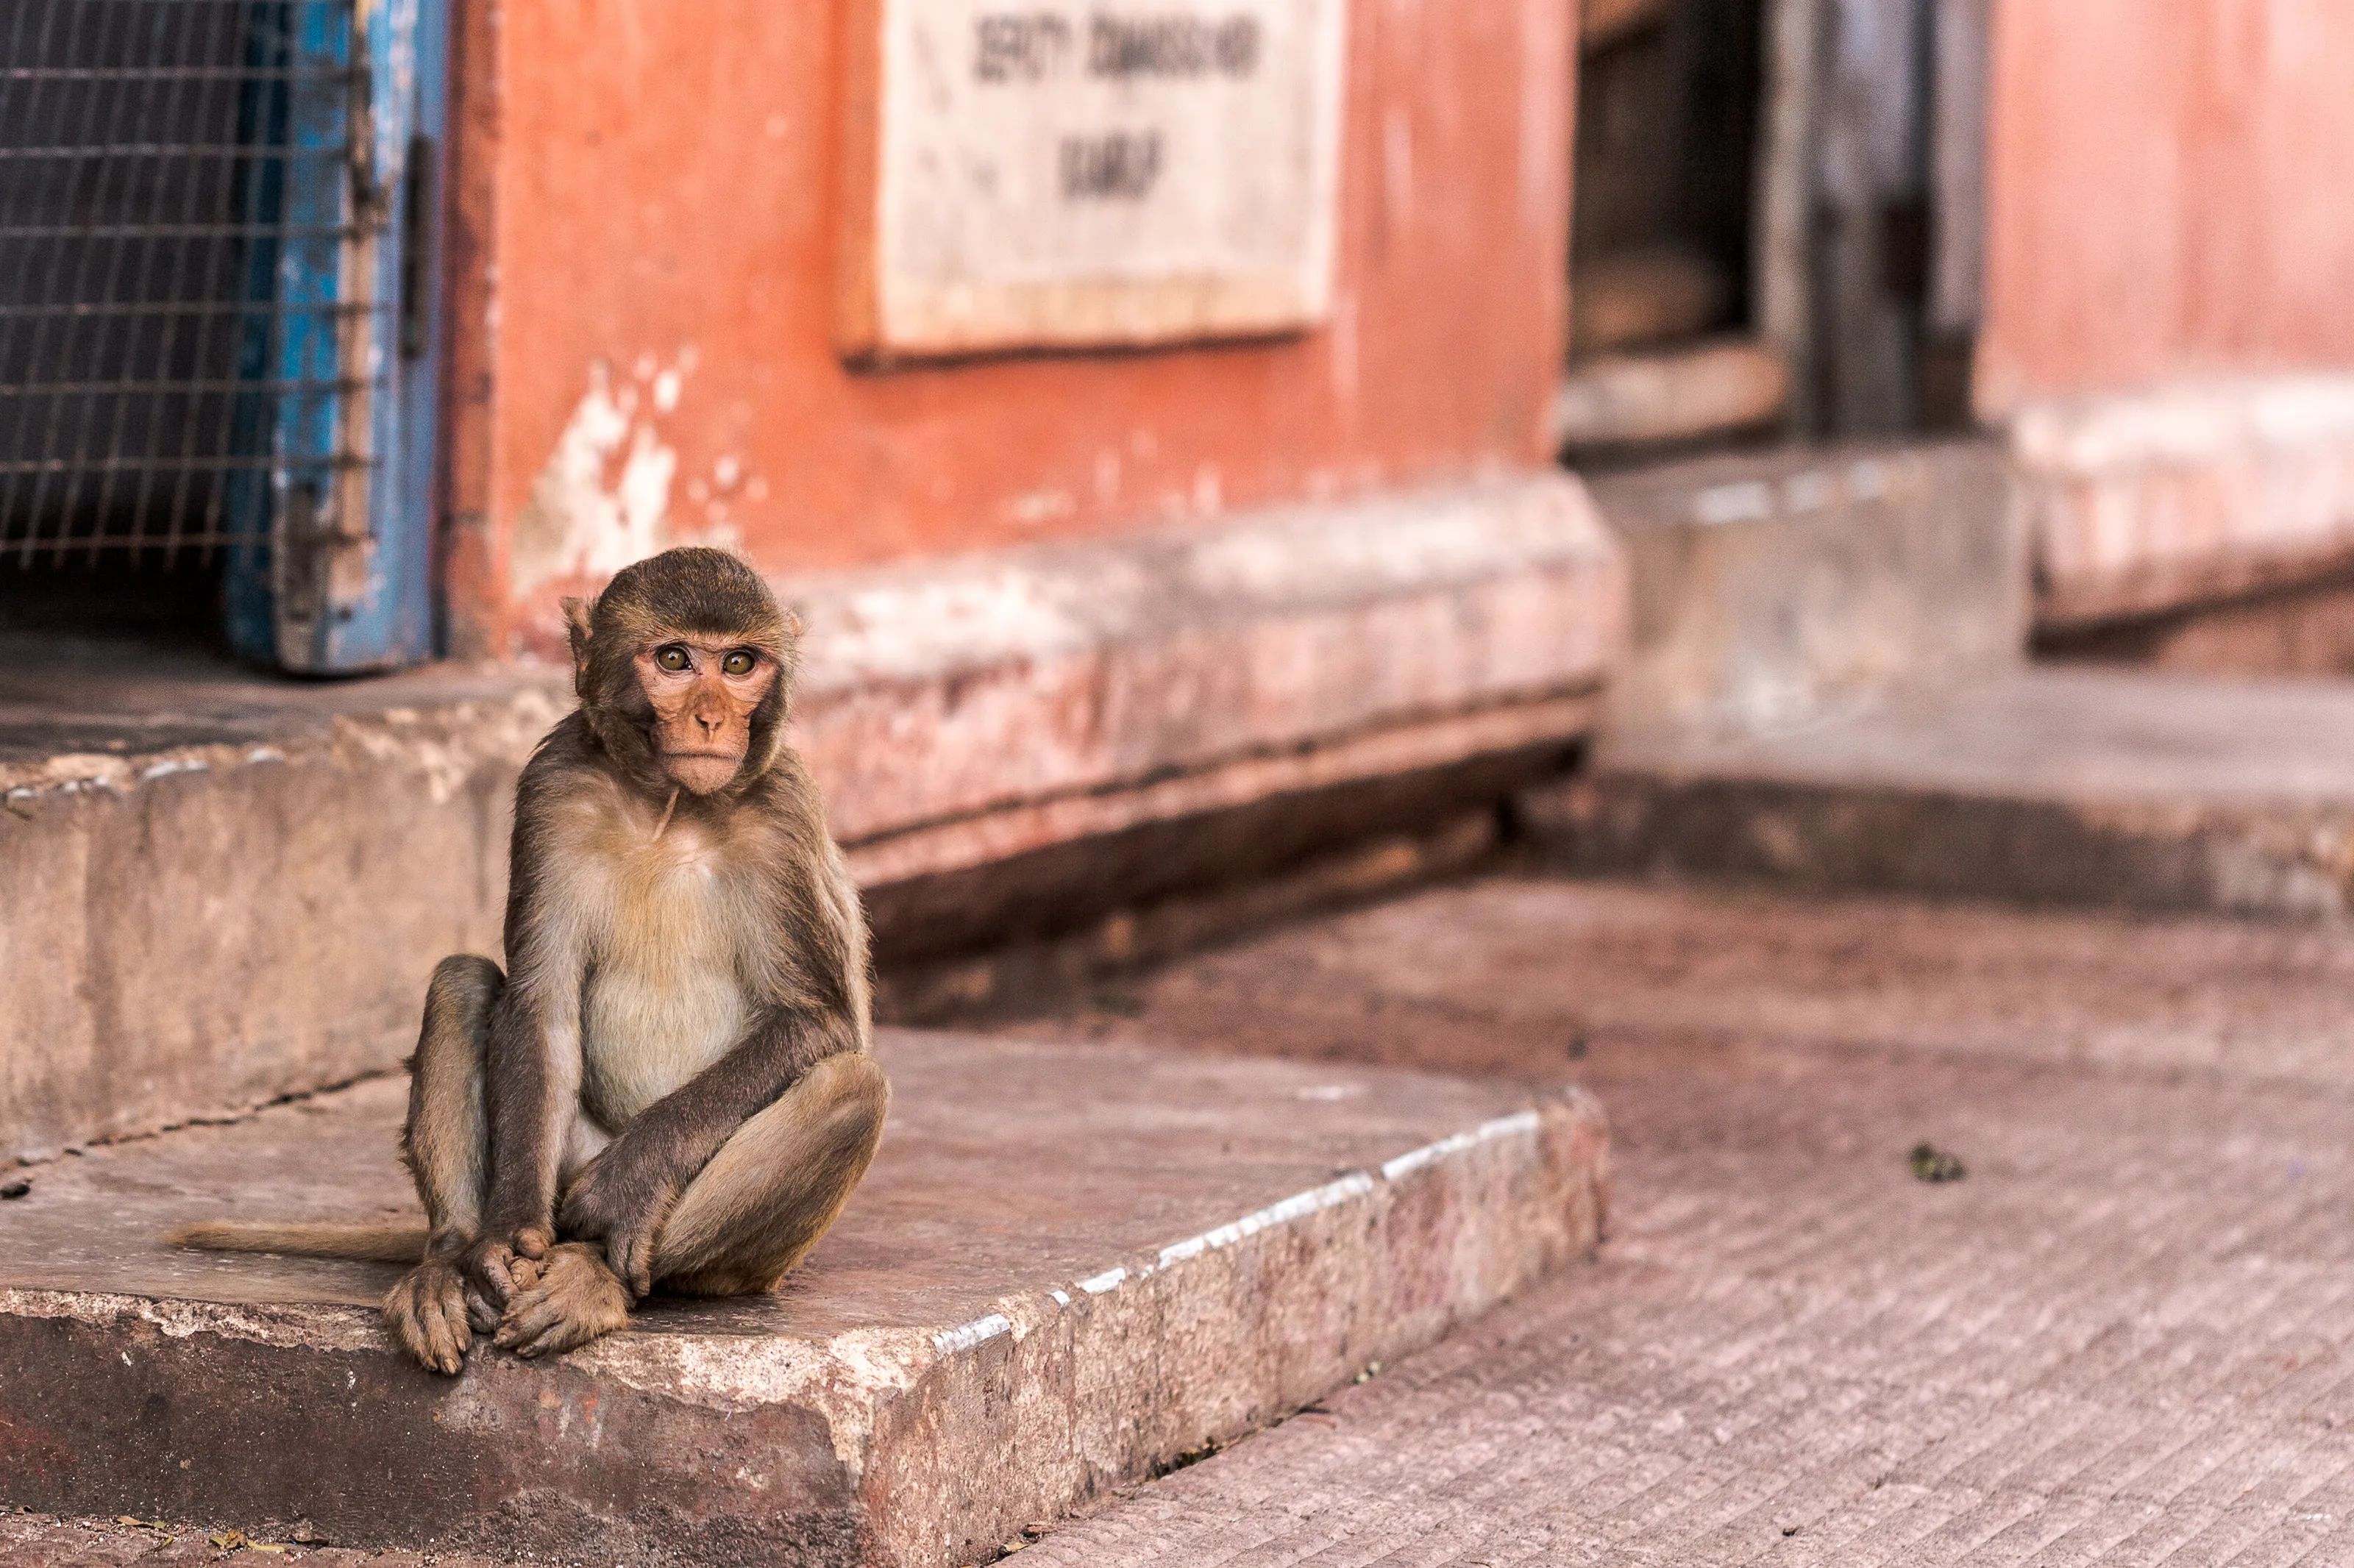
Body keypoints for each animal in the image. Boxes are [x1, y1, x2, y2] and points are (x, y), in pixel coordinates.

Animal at [171, 547, 888, 1374]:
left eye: (739, 663)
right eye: (675, 659)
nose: (712, 718)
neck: (667, 809)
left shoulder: (783, 812)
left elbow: (816, 1022)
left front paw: (631, 1183)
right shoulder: (552, 787)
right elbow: (540, 1005)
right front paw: (499, 1242)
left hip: (730, 1257)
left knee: (848, 1089)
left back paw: (595, 1278)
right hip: (561, 1165)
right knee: (461, 982)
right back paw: (450, 1263)